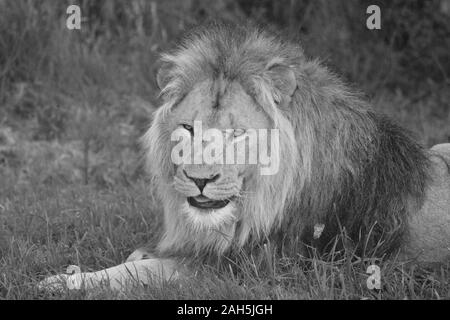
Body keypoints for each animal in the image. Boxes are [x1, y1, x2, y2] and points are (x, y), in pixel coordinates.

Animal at [39, 22, 450, 292]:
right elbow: (139, 257)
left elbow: (143, 272)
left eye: (237, 134)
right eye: (188, 129)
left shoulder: (249, 271)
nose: (200, 180)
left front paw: (64, 281)